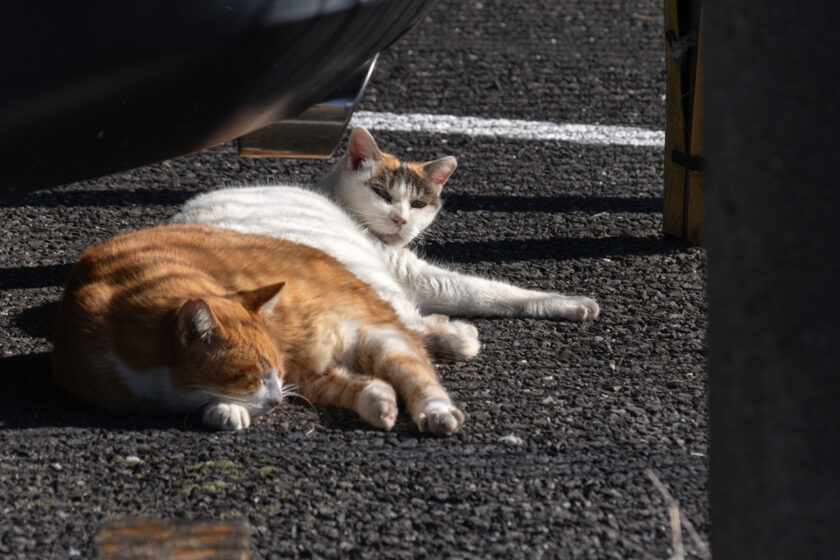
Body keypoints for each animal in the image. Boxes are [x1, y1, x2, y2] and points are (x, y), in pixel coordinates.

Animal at [52, 223, 466, 434]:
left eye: (274, 371)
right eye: (250, 376)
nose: (277, 400)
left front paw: (224, 410)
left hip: (374, 338)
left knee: (416, 373)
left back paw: (436, 414)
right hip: (314, 373)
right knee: (361, 383)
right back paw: (378, 403)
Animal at [174, 127, 600, 360]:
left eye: (418, 204)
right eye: (382, 193)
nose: (401, 220)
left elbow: (489, 295)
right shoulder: (415, 274)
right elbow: (496, 290)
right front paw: (572, 302)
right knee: (404, 326)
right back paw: (458, 336)